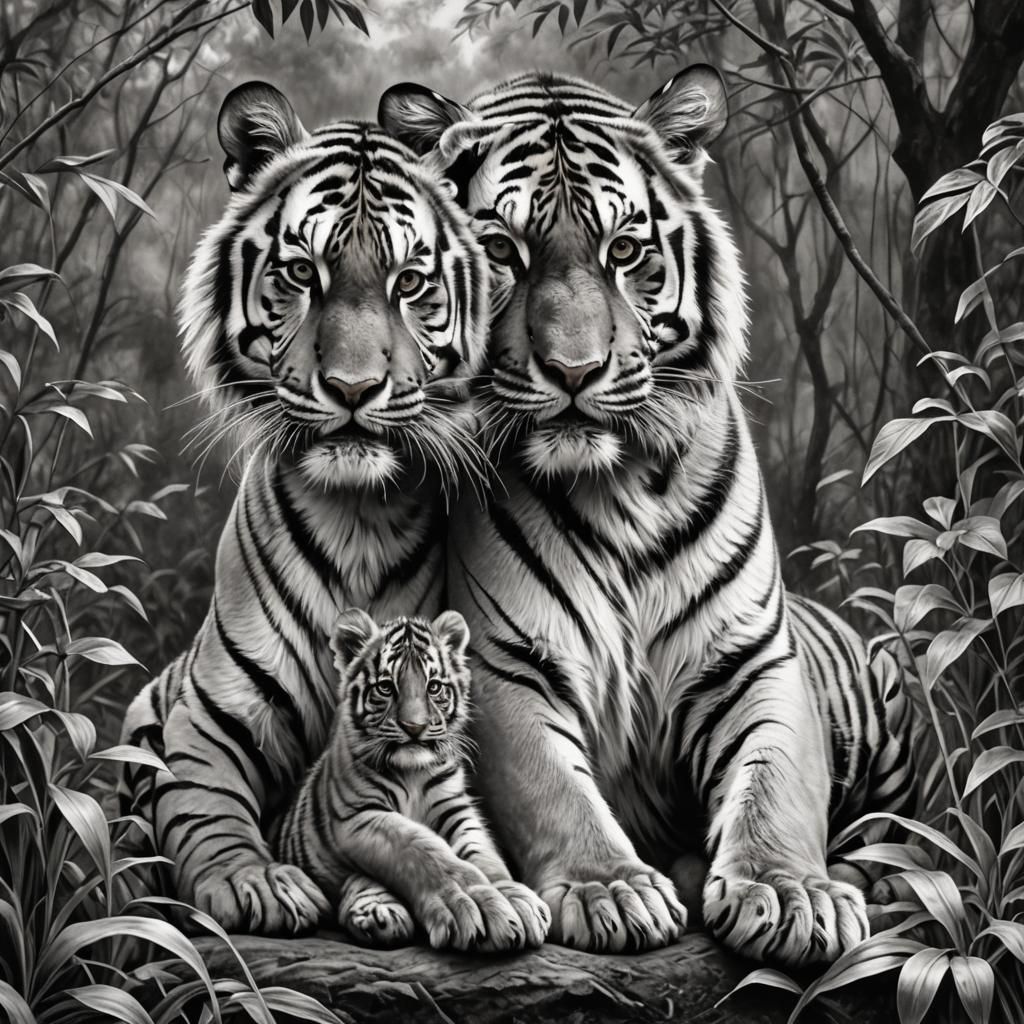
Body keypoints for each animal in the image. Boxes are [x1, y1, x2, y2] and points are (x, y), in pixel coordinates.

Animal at [117, 80, 521, 941]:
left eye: (410, 282)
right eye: (303, 272)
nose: (353, 388)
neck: (356, 513)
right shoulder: (208, 714)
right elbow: (206, 810)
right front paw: (255, 881)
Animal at [272, 609, 550, 951]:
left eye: (434, 687)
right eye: (385, 687)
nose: (414, 728)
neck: (413, 772)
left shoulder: (455, 809)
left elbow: (485, 854)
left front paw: (516, 898)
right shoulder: (359, 814)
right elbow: (423, 849)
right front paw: (475, 903)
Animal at [377, 66, 917, 966]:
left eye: (623, 252)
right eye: (501, 251)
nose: (574, 371)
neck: (616, 482)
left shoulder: (752, 660)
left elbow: (777, 781)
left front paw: (790, 893)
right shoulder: (508, 665)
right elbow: (553, 788)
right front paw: (610, 889)